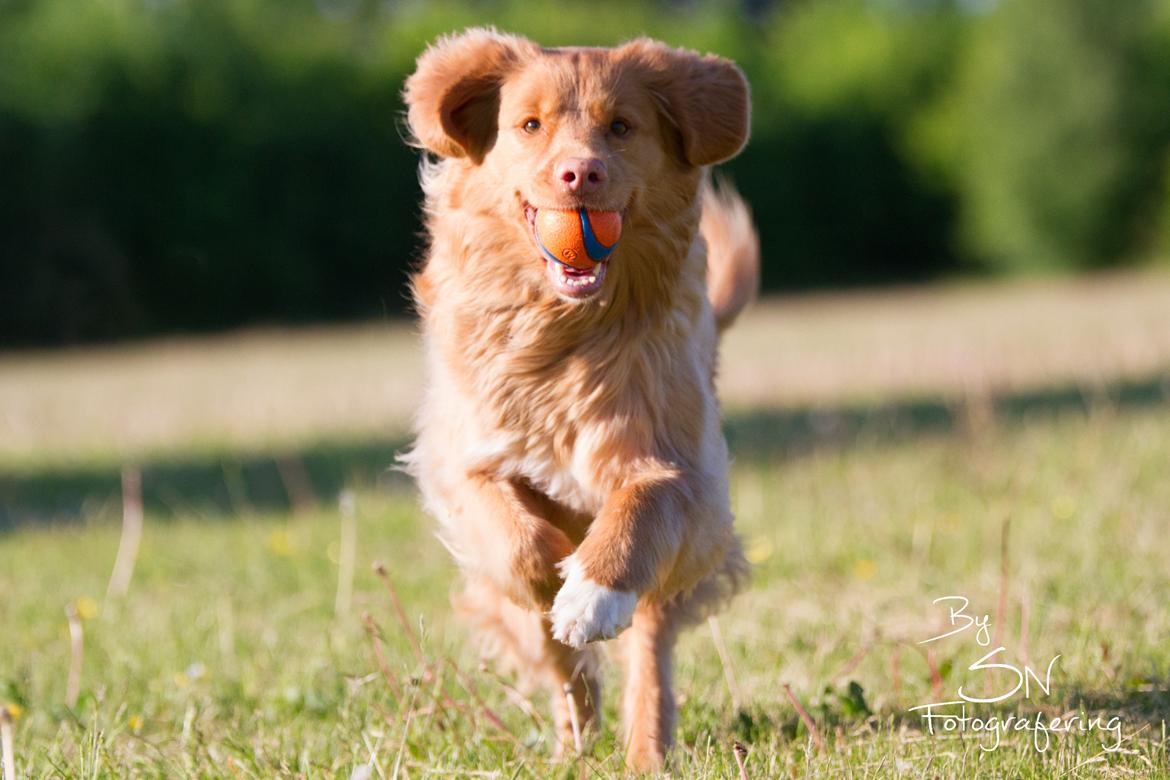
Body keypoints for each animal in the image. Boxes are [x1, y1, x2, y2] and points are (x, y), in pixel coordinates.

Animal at [402, 27, 758, 771]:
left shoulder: (687, 474)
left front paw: (590, 590)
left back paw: (645, 750)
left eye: (621, 126)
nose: (579, 174)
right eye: (529, 125)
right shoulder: (465, 461)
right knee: (564, 669)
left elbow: (643, 505)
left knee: (648, 652)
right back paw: (575, 739)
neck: (568, 333)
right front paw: (553, 575)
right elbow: (518, 540)